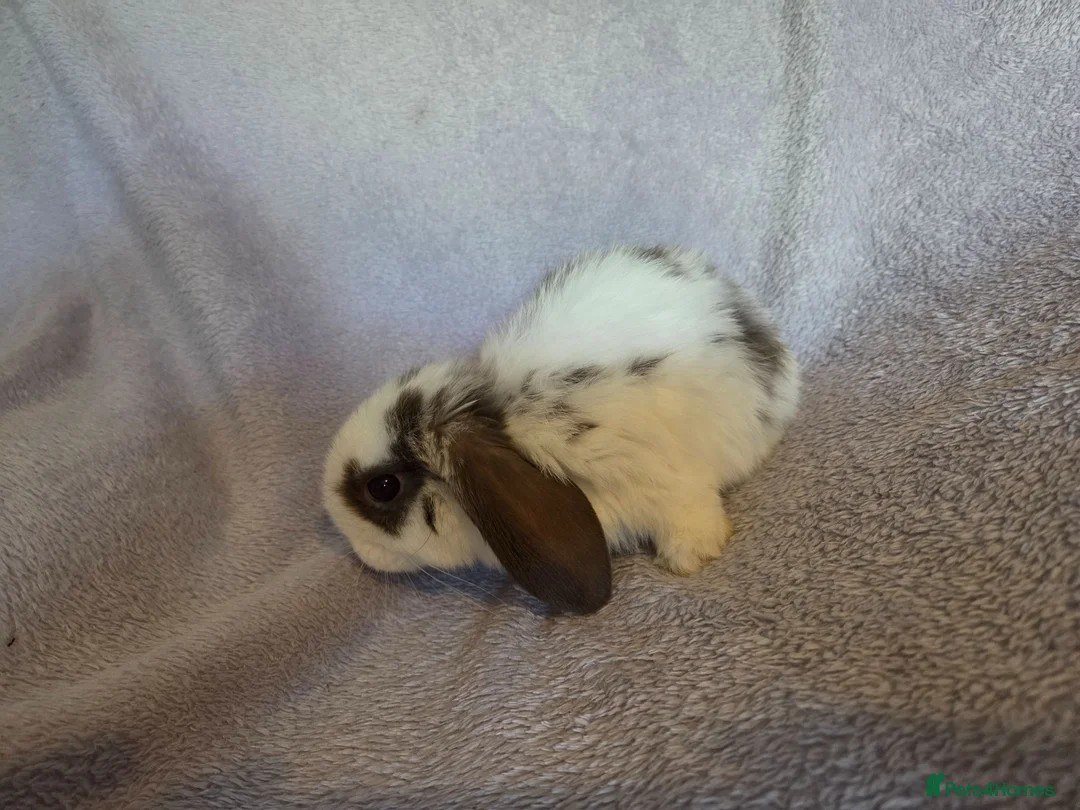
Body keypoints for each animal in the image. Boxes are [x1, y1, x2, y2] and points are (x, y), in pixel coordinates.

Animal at [323, 245, 799, 615]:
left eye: (383, 487)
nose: (358, 552)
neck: (511, 426)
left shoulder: (658, 479)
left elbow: (689, 512)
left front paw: (691, 557)